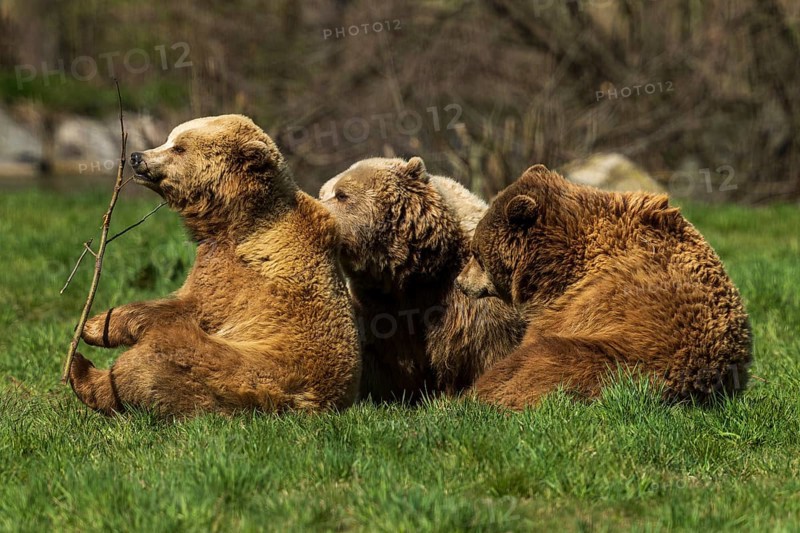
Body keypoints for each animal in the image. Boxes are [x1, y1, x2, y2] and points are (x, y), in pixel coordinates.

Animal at [69, 114, 361, 416]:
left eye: (179, 148)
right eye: (169, 139)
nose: (137, 157)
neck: (234, 219)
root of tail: (314, 405)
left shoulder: (237, 272)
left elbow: (189, 306)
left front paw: (92, 325)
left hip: (247, 368)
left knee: (153, 362)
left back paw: (82, 371)